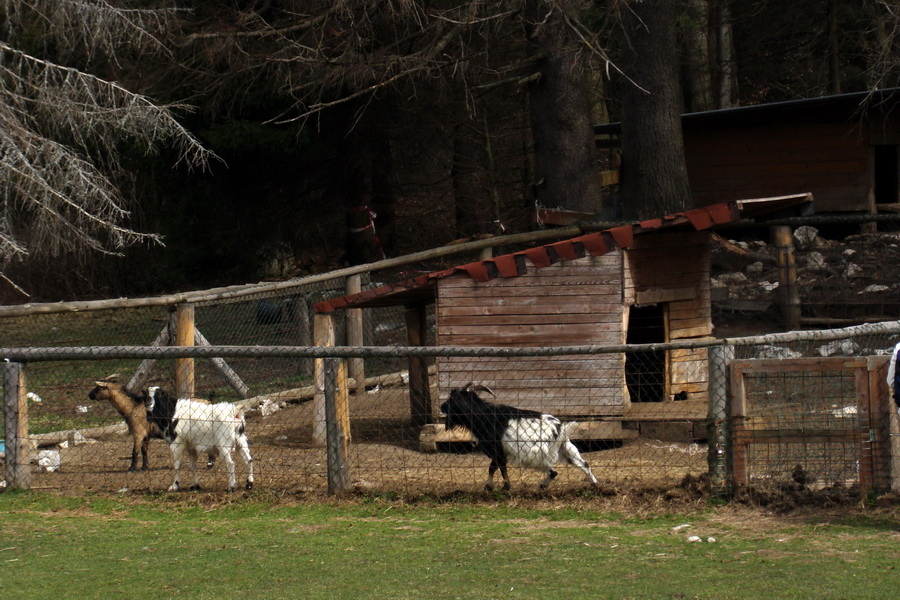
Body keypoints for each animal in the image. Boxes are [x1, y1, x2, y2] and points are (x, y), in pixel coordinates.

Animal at [88, 380, 216, 474]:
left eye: (98, 388)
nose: (89, 395)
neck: (132, 407)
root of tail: (209, 402)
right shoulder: (146, 435)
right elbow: (144, 451)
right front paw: (144, 467)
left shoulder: (138, 434)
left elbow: (134, 452)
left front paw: (131, 468)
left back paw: (209, 464)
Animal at [442, 384, 596, 492]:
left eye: (453, 399)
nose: (441, 406)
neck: (484, 416)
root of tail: (560, 428)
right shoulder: (500, 451)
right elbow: (495, 467)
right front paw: (492, 487)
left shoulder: (497, 449)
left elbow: (496, 467)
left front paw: (501, 487)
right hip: (565, 447)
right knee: (581, 464)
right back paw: (594, 484)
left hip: (538, 456)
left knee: (554, 471)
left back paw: (543, 485)